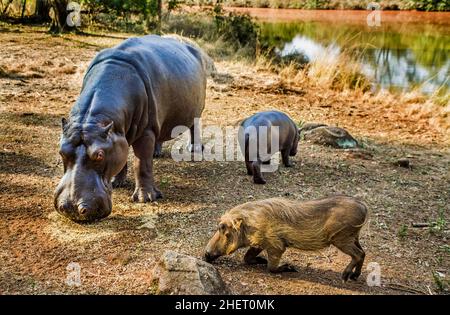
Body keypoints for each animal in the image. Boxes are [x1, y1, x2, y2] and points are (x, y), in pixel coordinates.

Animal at [206, 196, 368, 282]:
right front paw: (261, 260)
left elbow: (271, 268)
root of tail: (363, 206)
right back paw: (355, 276)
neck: (250, 222)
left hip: (342, 239)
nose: (205, 254)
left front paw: (289, 267)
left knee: (358, 254)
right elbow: (247, 258)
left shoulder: (275, 246)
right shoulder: (258, 243)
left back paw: (346, 276)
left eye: (223, 228)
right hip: (353, 237)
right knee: (363, 253)